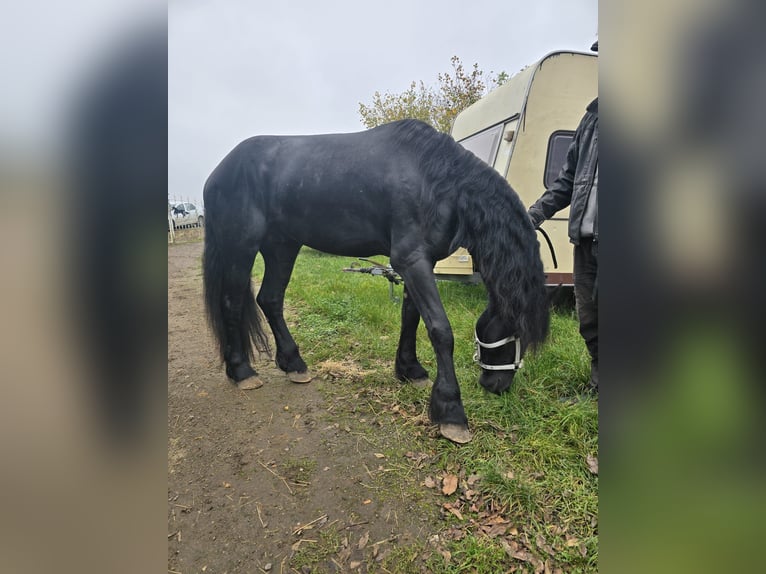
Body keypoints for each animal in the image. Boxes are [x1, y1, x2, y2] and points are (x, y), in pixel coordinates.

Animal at [204, 119, 548, 446]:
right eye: (515, 330)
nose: (496, 385)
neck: (436, 180)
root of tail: (218, 172)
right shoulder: (410, 260)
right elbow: (440, 330)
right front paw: (451, 411)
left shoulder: (420, 263)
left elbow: (411, 318)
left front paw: (410, 370)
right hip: (241, 246)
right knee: (232, 303)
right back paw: (242, 371)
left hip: (282, 247)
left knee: (270, 299)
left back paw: (294, 364)